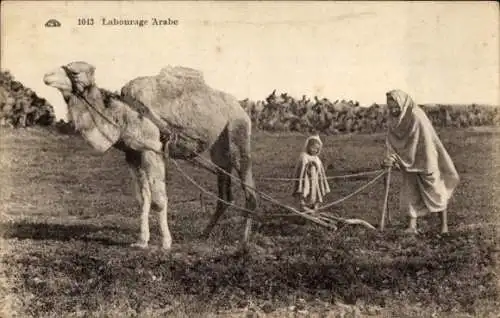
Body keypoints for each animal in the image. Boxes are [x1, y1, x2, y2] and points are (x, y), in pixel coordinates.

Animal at [44, 61, 258, 251]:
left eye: (74, 72)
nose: (47, 75)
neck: (123, 114)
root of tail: (241, 108)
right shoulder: (133, 154)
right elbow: (142, 199)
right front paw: (141, 241)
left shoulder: (152, 149)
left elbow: (158, 199)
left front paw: (165, 243)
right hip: (219, 150)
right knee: (225, 194)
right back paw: (204, 234)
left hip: (237, 132)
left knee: (250, 192)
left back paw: (244, 242)